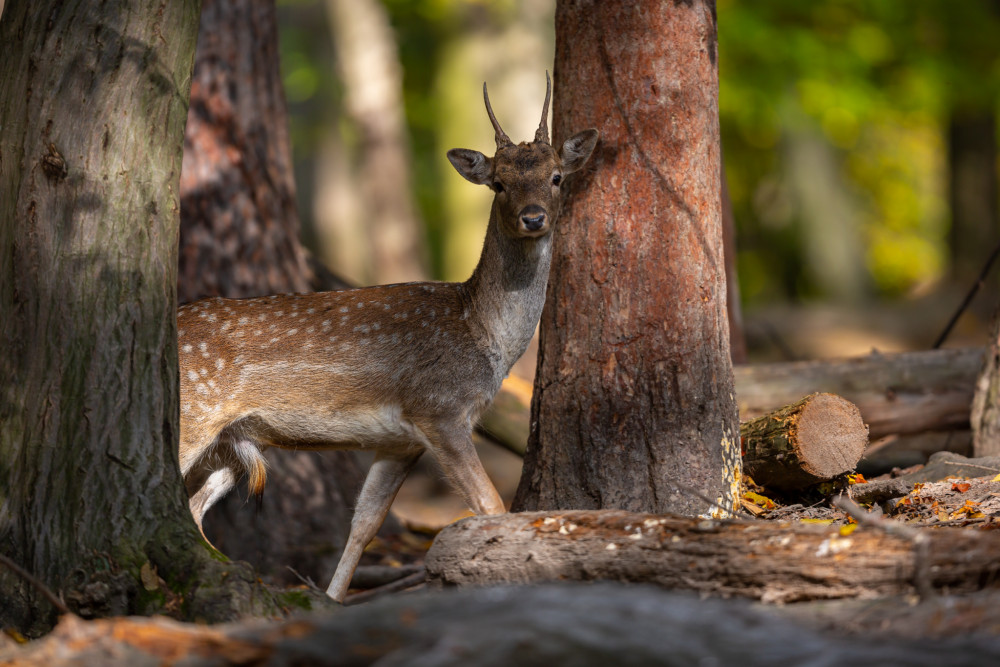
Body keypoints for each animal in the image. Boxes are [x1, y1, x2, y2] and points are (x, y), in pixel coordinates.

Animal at [177, 75, 596, 604]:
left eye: (557, 176)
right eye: (499, 183)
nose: (534, 217)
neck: (481, 334)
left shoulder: (399, 441)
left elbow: (365, 524)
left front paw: (332, 600)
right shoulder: (439, 408)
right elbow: (490, 505)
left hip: (230, 443)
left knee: (194, 510)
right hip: (193, 413)